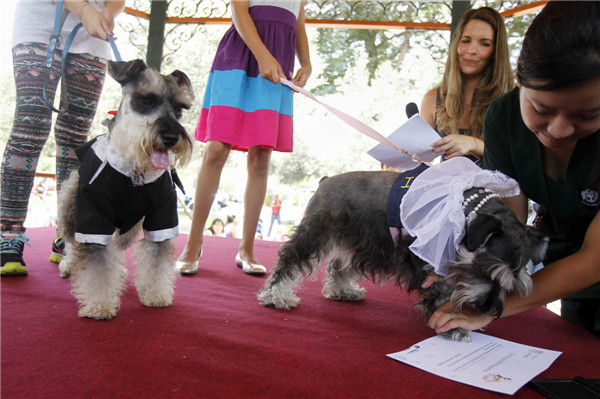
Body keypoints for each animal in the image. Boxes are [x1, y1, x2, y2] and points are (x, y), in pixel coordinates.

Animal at [57, 59, 193, 320]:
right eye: (147, 99)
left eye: (180, 108)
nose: (171, 137)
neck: (134, 171)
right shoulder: (93, 219)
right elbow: (97, 264)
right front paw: (99, 304)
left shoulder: (161, 219)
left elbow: (156, 260)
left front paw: (156, 295)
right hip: (69, 207)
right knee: (71, 242)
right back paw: (69, 264)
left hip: (129, 229)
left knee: (115, 247)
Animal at [258, 161, 548, 342]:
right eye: (485, 270)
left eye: (515, 279)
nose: (489, 309)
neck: (464, 210)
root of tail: (325, 181)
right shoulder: (428, 264)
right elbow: (441, 294)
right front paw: (454, 326)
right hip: (316, 232)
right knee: (290, 259)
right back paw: (276, 295)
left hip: (355, 241)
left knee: (338, 266)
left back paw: (344, 291)